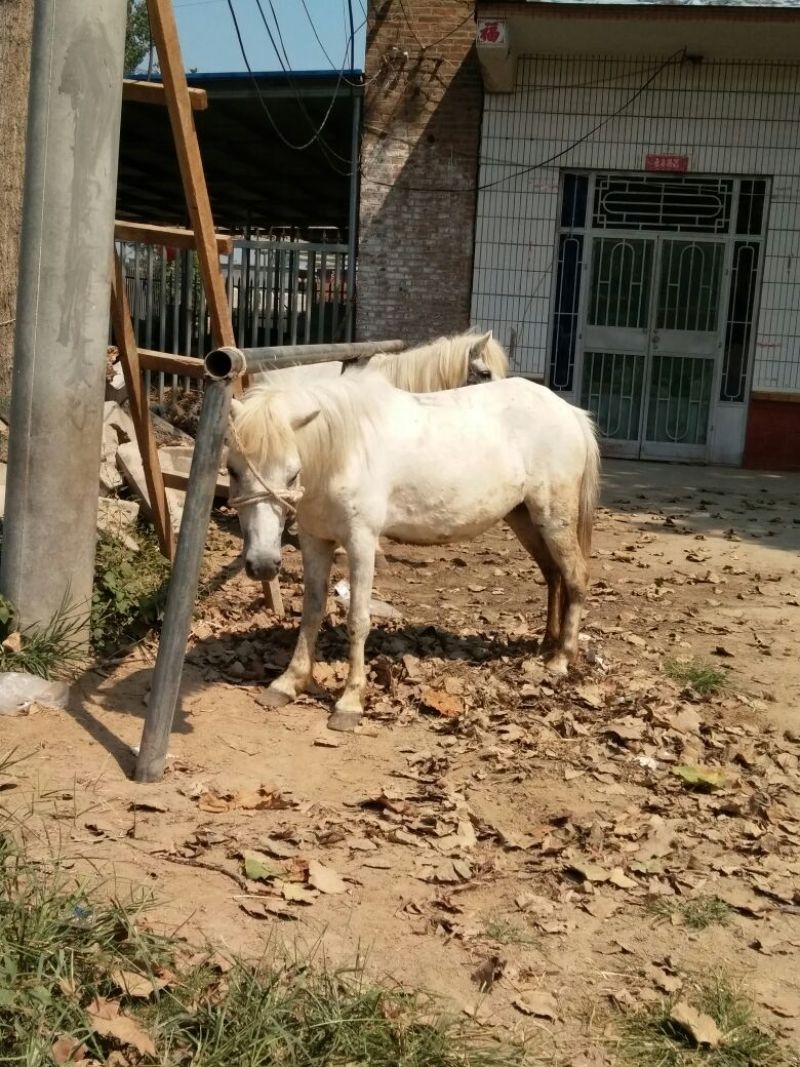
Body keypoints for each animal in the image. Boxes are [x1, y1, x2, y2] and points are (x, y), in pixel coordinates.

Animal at [226, 374, 600, 733]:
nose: (262, 565)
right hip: (524, 517)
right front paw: (289, 683)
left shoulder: (361, 542)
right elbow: (312, 611)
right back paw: (547, 644)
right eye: (232, 470)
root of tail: (571, 413)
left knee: (576, 577)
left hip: (553, 518)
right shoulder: (314, 539)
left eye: (292, 473)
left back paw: (561, 658)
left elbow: (358, 620)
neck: (343, 454)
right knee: (553, 575)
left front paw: (350, 703)